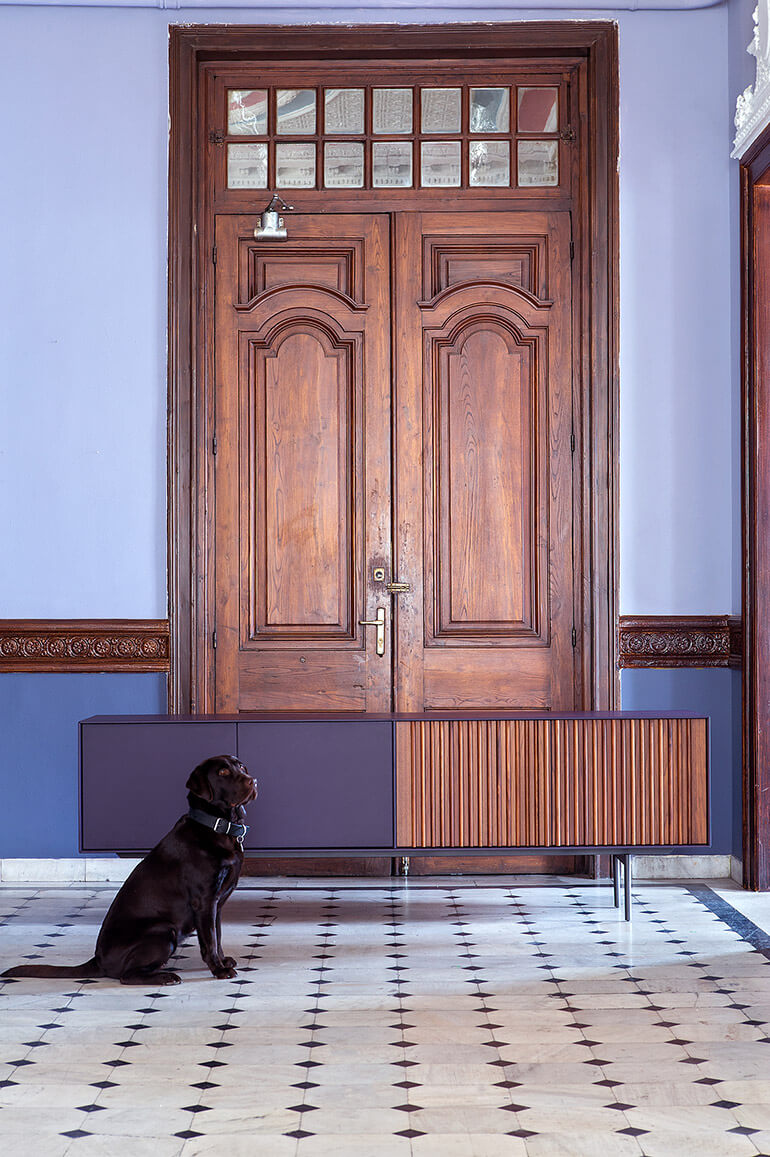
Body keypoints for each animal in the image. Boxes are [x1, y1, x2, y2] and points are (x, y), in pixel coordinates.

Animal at [0, 758, 258, 985]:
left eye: (242, 766)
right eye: (223, 772)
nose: (253, 780)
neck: (215, 826)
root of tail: (98, 960)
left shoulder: (217, 904)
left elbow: (218, 936)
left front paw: (224, 961)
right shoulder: (204, 901)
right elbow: (210, 941)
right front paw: (218, 970)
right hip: (163, 932)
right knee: (126, 976)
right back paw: (165, 977)